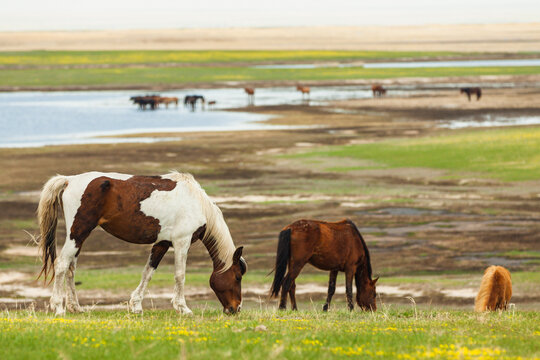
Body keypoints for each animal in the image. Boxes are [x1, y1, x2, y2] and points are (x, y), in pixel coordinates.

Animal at [38, 172, 247, 316]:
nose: (235, 308)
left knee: (71, 268)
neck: (196, 203)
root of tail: (69, 180)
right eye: (237, 277)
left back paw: (76, 307)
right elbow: (180, 275)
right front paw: (183, 308)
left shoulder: (162, 243)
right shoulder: (182, 242)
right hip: (78, 233)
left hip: (79, 237)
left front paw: (136, 305)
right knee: (62, 264)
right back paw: (58, 307)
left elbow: (148, 272)